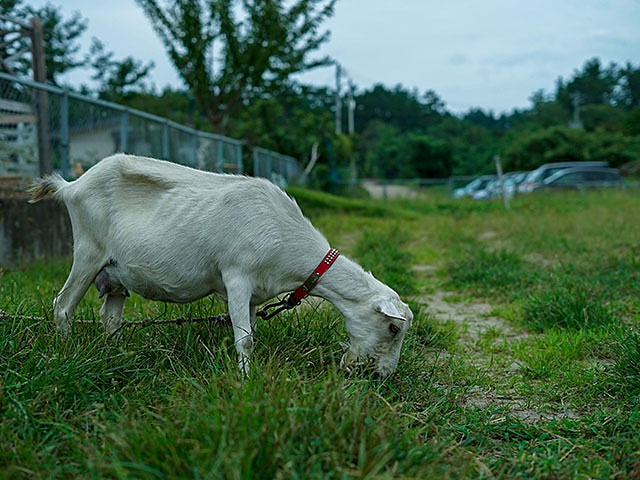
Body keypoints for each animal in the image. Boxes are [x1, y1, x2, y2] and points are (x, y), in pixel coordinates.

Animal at [30, 154, 412, 376]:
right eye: (394, 328)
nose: (383, 375)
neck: (285, 237)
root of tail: (72, 185)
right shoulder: (237, 277)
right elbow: (244, 340)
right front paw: (246, 382)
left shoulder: (257, 294)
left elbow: (251, 333)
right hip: (88, 252)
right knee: (63, 305)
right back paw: (65, 351)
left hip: (115, 273)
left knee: (110, 319)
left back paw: (117, 356)